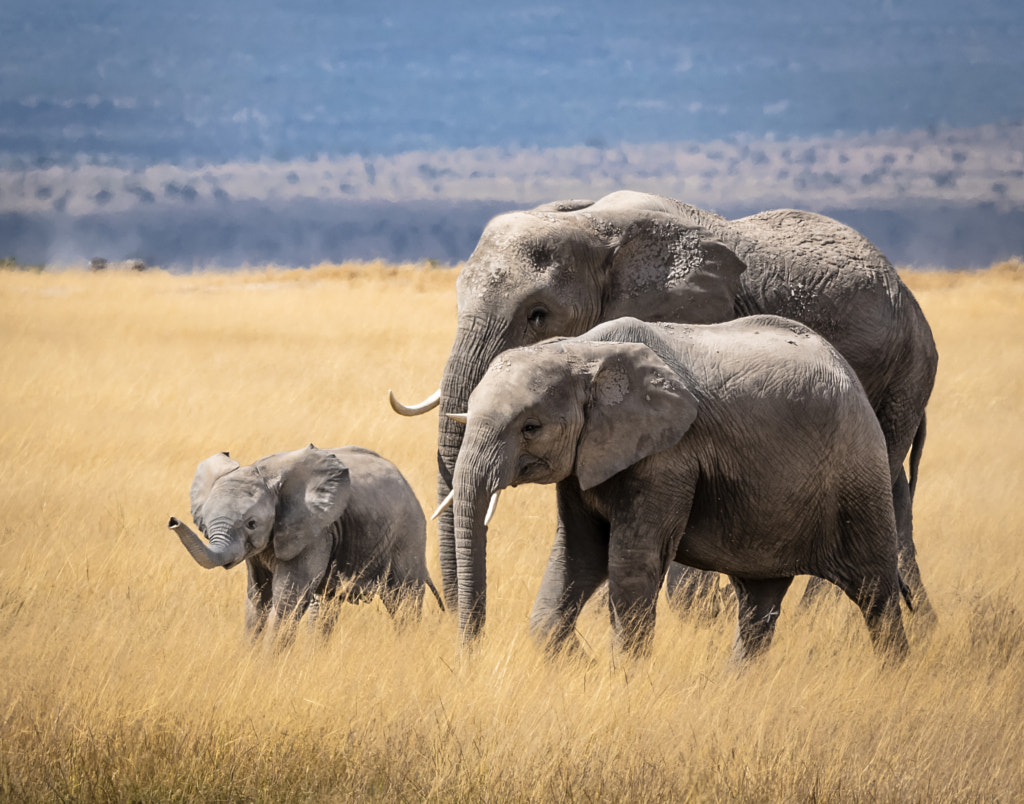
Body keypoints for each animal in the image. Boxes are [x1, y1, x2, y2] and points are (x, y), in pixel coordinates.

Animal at [167, 442, 440, 643]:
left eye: (252, 523)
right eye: (205, 523)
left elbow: (288, 597)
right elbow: (257, 597)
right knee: (326, 604)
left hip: (408, 533)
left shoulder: (314, 531)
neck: (265, 474)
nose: (172, 521)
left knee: (403, 600)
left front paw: (269, 666)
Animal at [391, 189, 937, 622]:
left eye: (538, 314)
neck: (592, 224)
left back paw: (817, 620)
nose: (454, 617)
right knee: (895, 495)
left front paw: (694, 618)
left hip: (903, 376)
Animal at [444, 313, 909, 659]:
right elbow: (579, 553)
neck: (583, 352)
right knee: (759, 602)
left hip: (858, 474)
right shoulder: (584, 461)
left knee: (876, 592)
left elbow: (630, 563)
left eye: (531, 427)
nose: (471, 659)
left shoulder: (669, 456)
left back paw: (895, 679)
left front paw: (623, 683)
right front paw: (586, 666)